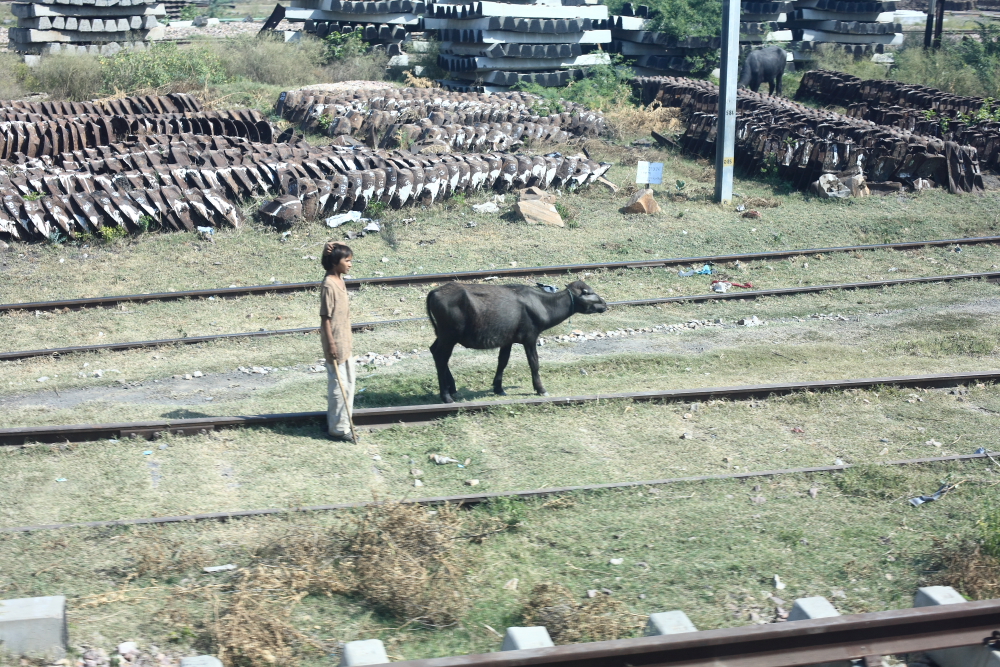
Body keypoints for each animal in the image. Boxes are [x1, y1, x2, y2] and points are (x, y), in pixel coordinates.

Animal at [424, 280, 604, 404]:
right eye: (588, 292)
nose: (604, 303)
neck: (542, 304)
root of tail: (435, 291)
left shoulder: (507, 341)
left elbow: (502, 362)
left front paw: (498, 388)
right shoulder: (530, 338)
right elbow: (534, 363)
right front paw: (540, 389)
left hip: (443, 335)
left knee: (434, 351)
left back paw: (453, 389)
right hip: (449, 336)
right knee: (441, 357)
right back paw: (446, 395)